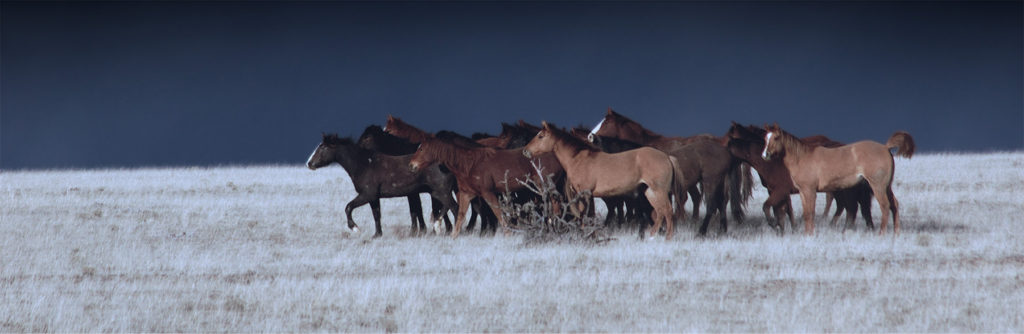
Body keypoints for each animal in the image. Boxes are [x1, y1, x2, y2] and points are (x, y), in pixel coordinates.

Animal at [305, 133, 458, 237]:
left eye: (323, 148)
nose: (309, 163)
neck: (364, 165)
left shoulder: (367, 195)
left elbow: (348, 207)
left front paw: (356, 228)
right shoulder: (374, 198)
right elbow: (376, 215)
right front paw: (377, 234)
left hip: (441, 192)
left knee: (454, 208)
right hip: (437, 193)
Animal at [524, 121, 684, 238]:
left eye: (540, 136)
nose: (525, 151)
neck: (578, 159)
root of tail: (667, 157)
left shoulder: (585, 194)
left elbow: (586, 215)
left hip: (659, 191)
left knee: (667, 211)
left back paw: (668, 238)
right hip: (649, 192)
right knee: (660, 212)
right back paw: (651, 235)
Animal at [765, 122, 917, 234]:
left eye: (776, 138)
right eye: (765, 138)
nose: (765, 154)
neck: (802, 158)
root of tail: (885, 147)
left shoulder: (810, 191)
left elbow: (810, 212)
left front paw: (810, 234)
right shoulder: (803, 192)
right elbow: (806, 213)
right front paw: (807, 233)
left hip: (878, 186)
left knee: (885, 206)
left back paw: (881, 233)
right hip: (887, 187)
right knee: (894, 205)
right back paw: (896, 233)